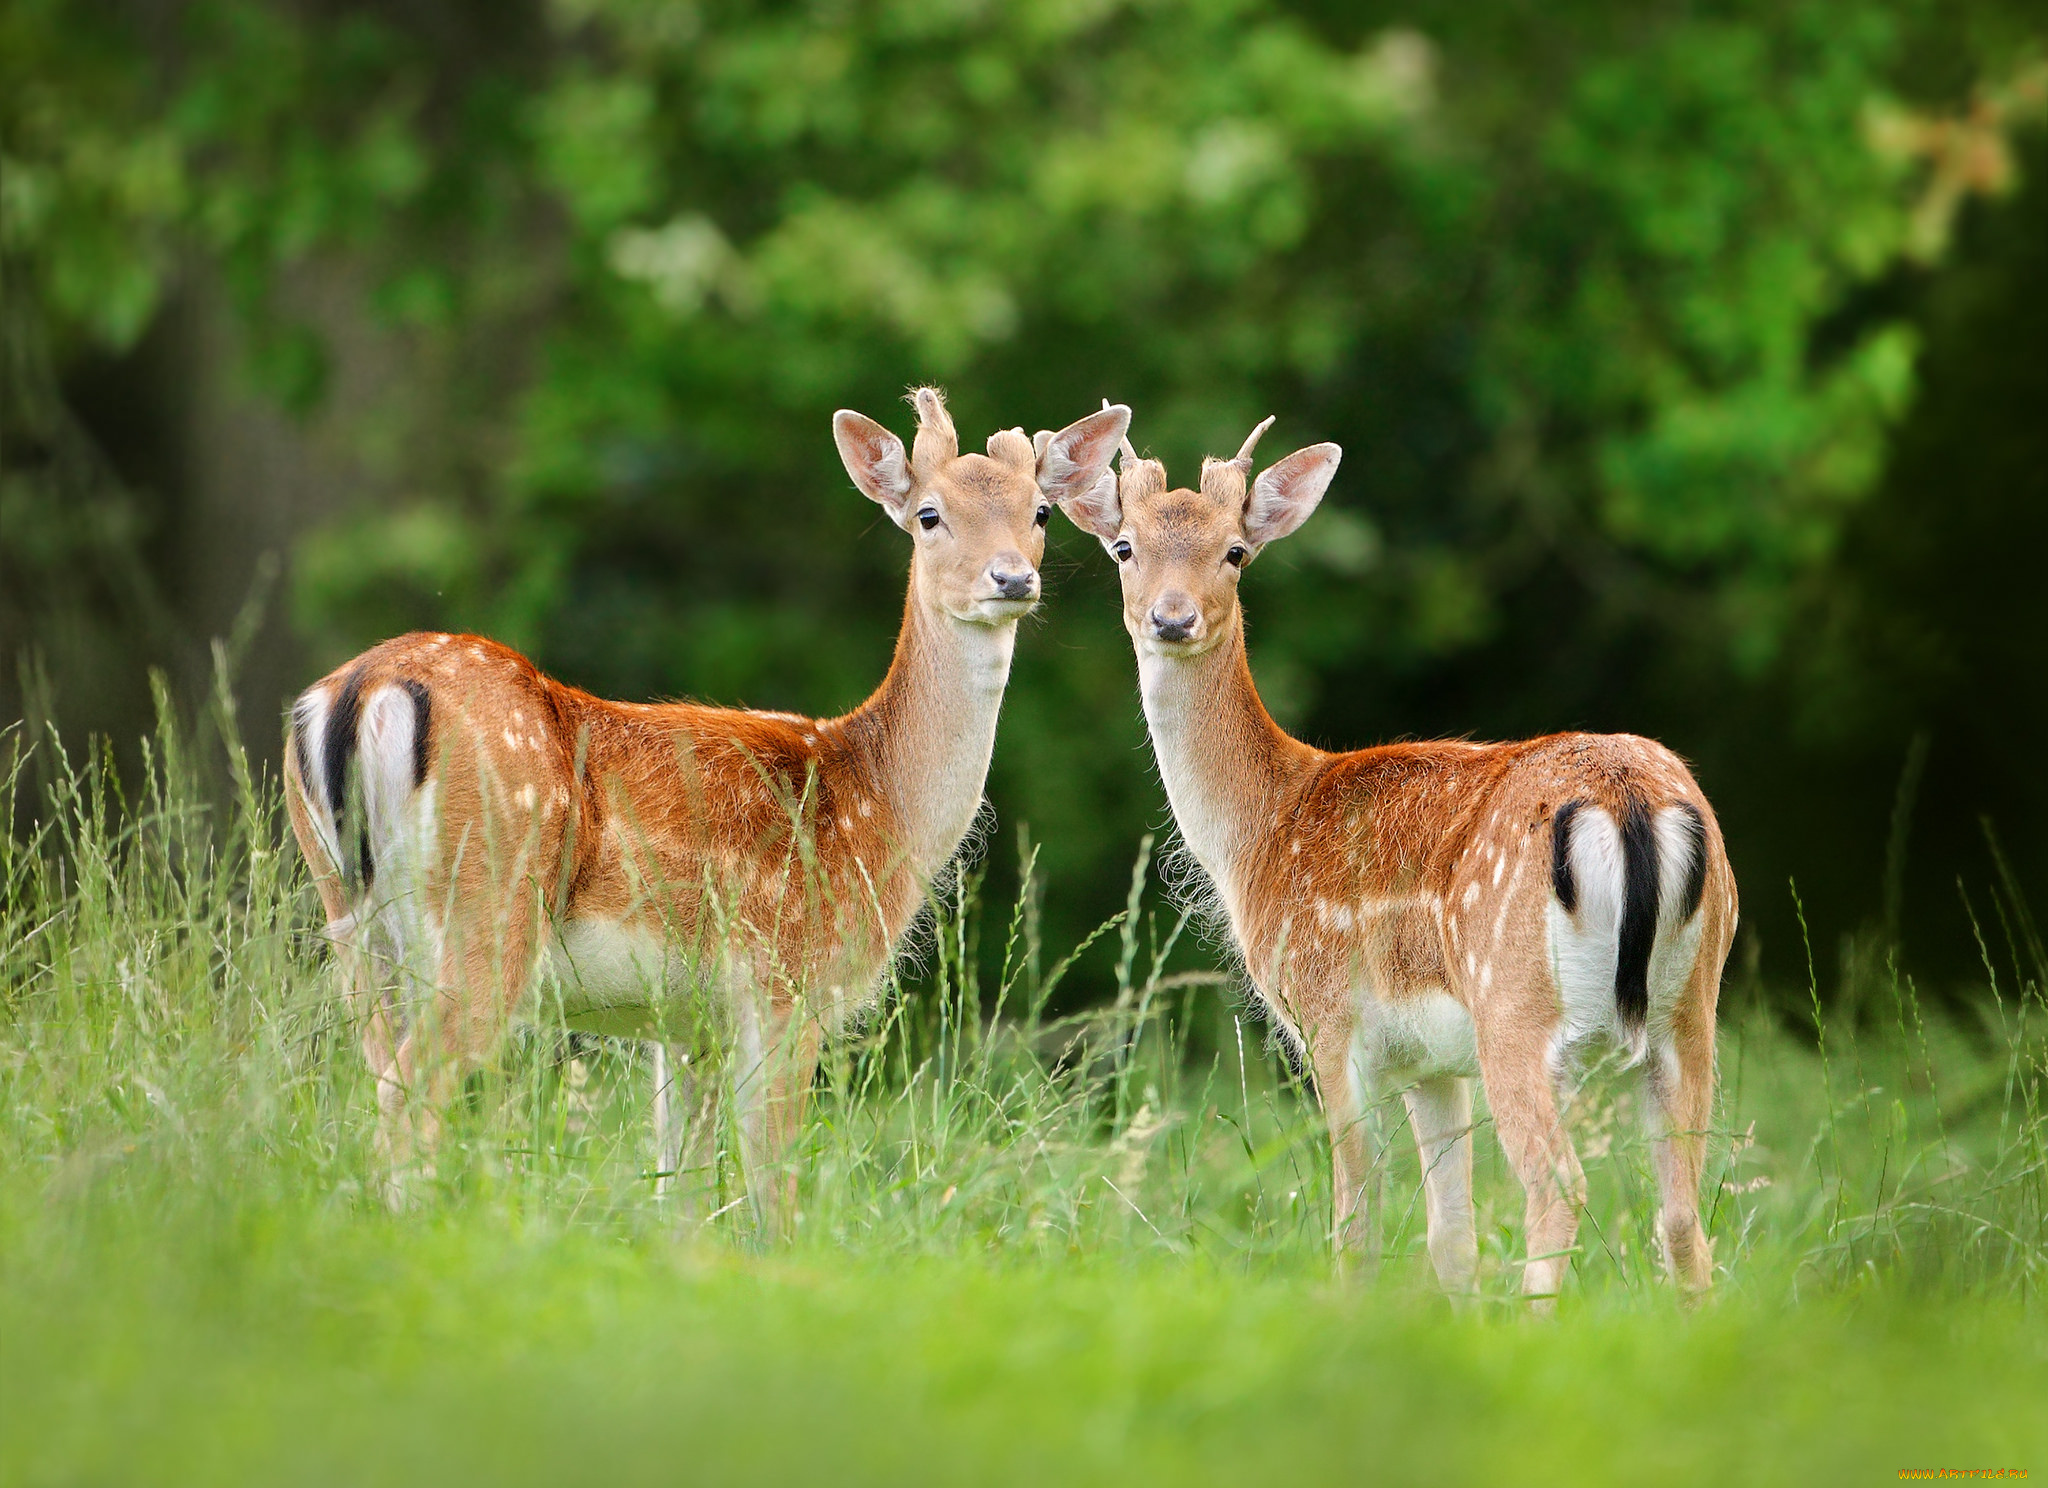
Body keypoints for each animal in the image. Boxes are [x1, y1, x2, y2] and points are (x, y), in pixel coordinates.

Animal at [280, 390, 1130, 1228]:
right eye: (929, 513)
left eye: (1040, 512)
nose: (1011, 579)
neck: (882, 805)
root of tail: (358, 692)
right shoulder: (786, 982)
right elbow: (772, 1190)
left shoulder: (689, 1024)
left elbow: (679, 1189)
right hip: (485, 906)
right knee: (410, 1094)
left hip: (348, 914)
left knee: (377, 1082)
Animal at [1064, 413, 1736, 1301]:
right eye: (1125, 547)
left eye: (1235, 551)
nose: (1172, 619)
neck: (1262, 829)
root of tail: (1625, 799)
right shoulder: (1430, 1061)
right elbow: (1451, 1240)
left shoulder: (1329, 1020)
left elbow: (1357, 1222)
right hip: (1692, 1005)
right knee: (1684, 1215)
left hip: (1513, 1003)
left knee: (1558, 1186)